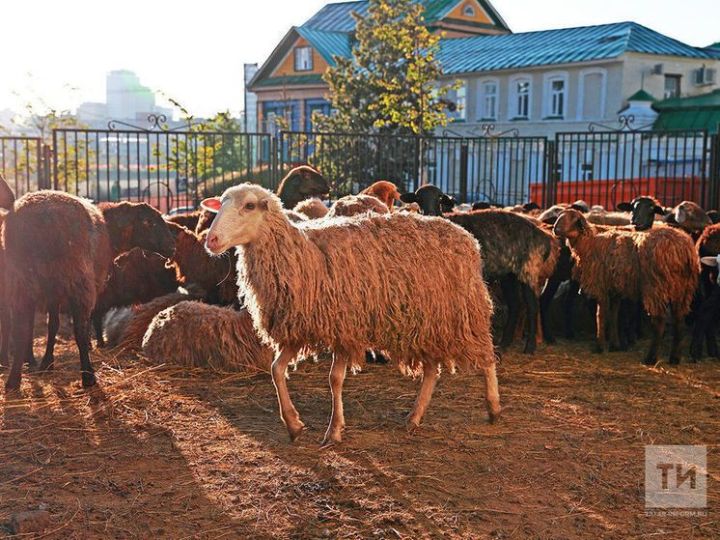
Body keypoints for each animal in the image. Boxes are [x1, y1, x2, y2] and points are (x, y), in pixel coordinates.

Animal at [1, 179, 176, 390]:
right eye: (148, 222)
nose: (172, 247)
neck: (110, 231)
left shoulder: (53, 291)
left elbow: (53, 326)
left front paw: (47, 363)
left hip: (21, 282)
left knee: (20, 330)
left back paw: (13, 379)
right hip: (78, 279)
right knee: (80, 330)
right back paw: (88, 376)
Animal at [200, 184, 498, 446]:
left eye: (249, 206)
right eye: (221, 204)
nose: (210, 240)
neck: (302, 254)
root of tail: (464, 234)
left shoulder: (344, 327)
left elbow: (334, 379)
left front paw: (334, 431)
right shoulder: (299, 327)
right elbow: (276, 369)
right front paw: (294, 425)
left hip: (465, 311)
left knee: (486, 357)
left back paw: (493, 406)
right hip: (428, 320)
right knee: (431, 370)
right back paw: (415, 416)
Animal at [400, 186, 556, 354]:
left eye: (440, 198)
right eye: (418, 199)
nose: (429, 214)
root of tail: (544, 237)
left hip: (529, 270)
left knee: (532, 306)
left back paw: (529, 347)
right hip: (509, 275)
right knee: (515, 304)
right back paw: (504, 343)